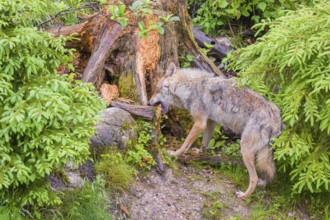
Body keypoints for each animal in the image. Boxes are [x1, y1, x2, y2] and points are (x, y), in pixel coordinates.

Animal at [148, 62, 282, 199]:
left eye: (157, 89)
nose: (148, 103)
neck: (189, 87)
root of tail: (276, 119)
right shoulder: (211, 122)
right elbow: (204, 143)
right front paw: (198, 152)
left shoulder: (199, 123)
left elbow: (185, 143)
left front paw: (174, 154)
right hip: (261, 153)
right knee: (268, 172)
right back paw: (263, 184)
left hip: (245, 149)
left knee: (254, 178)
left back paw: (243, 195)